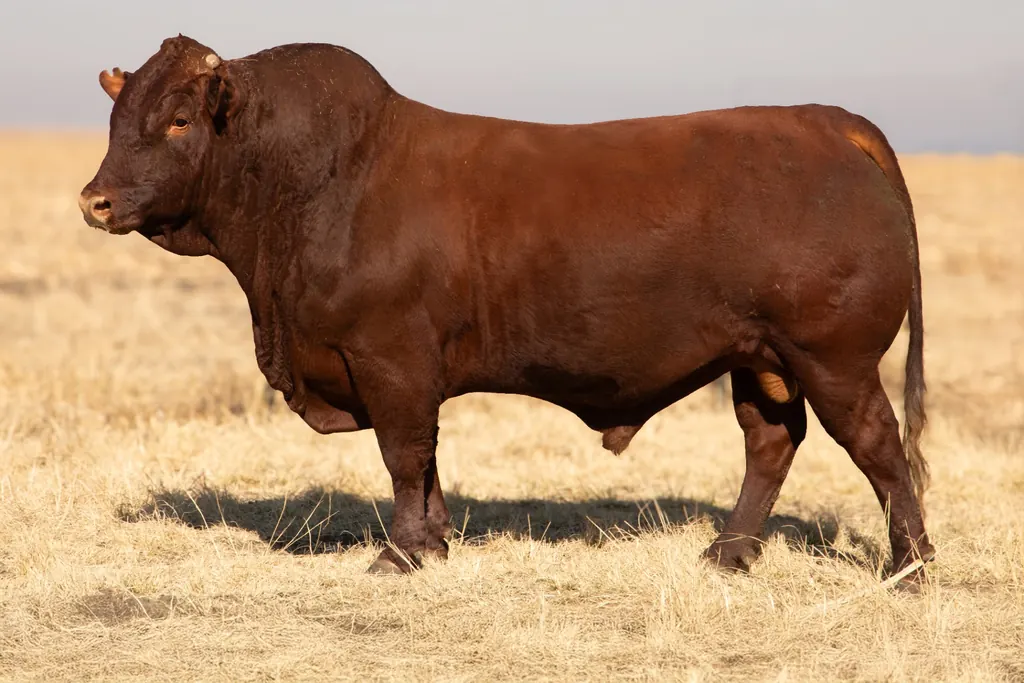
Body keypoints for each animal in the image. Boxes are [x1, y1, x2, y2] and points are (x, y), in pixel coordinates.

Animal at [79, 35, 934, 584]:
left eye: (179, 119)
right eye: (119, 121)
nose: (96, 200)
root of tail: (825, 120)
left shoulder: (390, 359)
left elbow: (403, 455)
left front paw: (399, 553)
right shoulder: (406, 372)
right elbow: (425, 463)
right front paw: (432, 544)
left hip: (834, 359)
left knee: (880, 447)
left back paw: (911, 566)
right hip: (760, 359)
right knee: (771, 444)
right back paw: (728, 552)